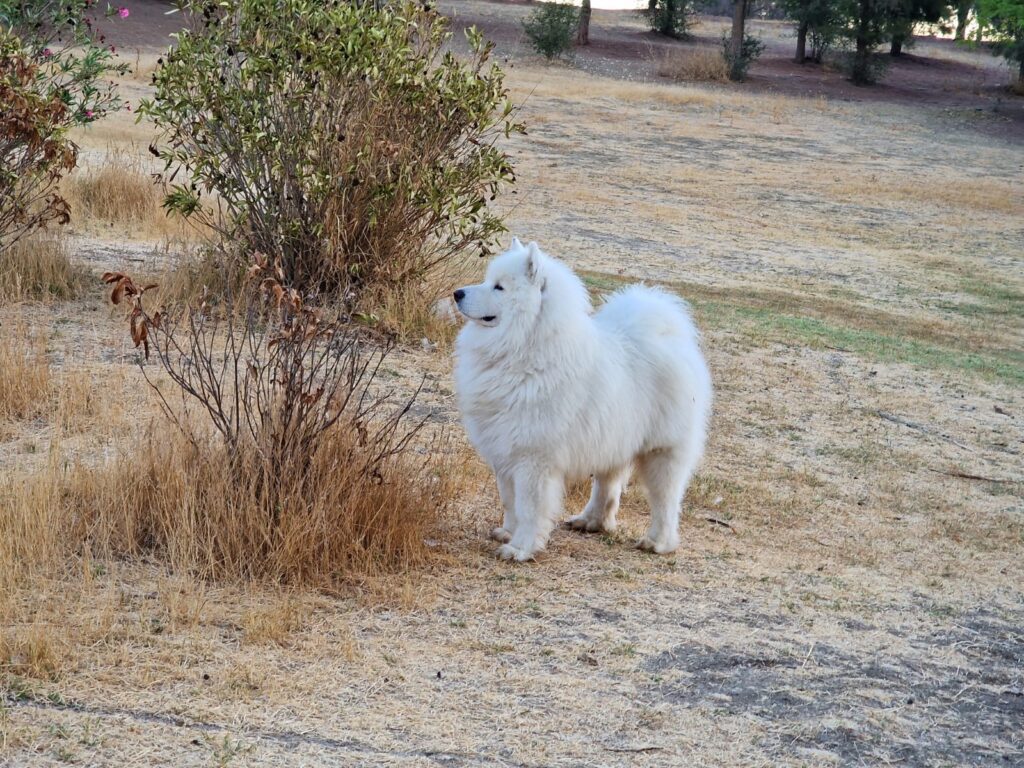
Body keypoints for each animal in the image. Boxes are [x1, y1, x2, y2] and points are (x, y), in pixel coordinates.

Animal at [456, 237, 712, 561]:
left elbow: (529, 508)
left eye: (499, 287)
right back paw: (591, 521)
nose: (457, 293)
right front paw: (508, 532)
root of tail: (671, 336)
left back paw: (658, 543)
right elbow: (509, 501)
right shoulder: (504, 452)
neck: (527, 346)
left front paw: (520, 548)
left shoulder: (533, 460)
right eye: (487, 281)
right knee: (607, 488)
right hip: (613, 440)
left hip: (661, 451)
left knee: (665, 500)